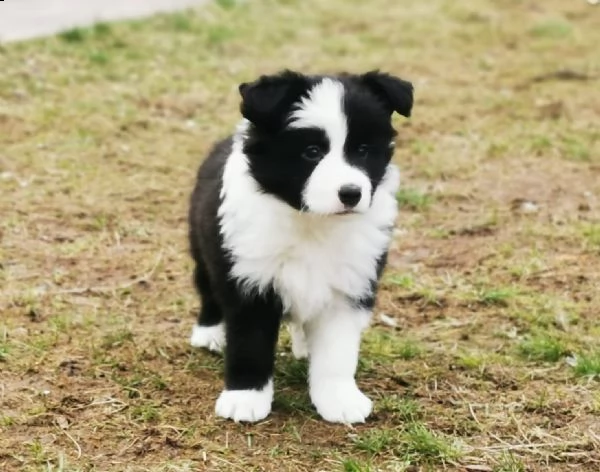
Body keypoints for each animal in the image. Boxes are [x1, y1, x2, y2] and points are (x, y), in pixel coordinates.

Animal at [188, 71, 412, 424]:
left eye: (363, 150)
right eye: (311, 152)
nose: (351, 193)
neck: (312, 222)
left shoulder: (350, 284)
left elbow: (337, 351)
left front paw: (339, 399)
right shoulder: (248, 278)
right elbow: (250, 342)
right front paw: (245, 398)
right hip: (204, 245)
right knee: (207, 288)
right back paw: (209, 333)